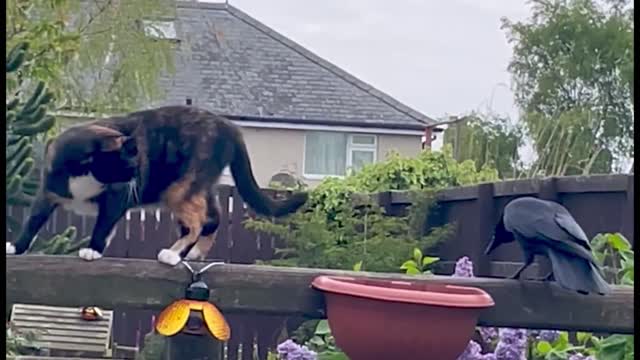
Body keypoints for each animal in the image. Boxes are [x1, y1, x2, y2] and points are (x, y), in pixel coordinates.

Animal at [6, 105, 308, 266]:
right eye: (129, 164)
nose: (136, 177)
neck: (83, 172)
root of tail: (229, 127)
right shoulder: (48, 192)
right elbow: (33, 221)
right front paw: (16, 247)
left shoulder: (116, 197)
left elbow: (104, 224)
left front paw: (93, 249)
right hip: (197, 185)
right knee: (214, 216)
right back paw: (194, 252)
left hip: (179, 188)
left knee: (198, 221)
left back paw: (173, 254)